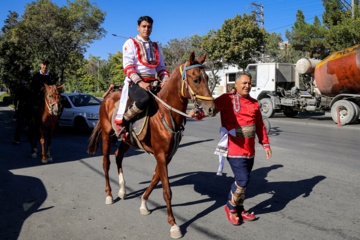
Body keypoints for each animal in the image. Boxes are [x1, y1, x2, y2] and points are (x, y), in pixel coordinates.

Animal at [88, 52, 217, 238]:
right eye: (196, 79)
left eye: (207, 77)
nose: (212, 109)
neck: (166, 113)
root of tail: (107, 98)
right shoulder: (161, 154)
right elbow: (167, 191)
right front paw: (174, 225)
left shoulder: (167, 155)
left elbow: (155, 179)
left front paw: (143, 203)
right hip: (106, 136)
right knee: (106, 163)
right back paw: (110, 195)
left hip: (127, 141)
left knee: (118, 156)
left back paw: (122, 190)